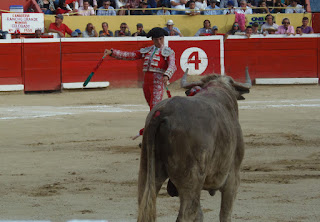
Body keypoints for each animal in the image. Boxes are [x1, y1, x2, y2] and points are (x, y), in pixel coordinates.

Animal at [138, 70, 252, 222]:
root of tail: (163, 113)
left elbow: (200, 214)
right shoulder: (233, 177)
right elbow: (224, 214)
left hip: (146, 170)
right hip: (191, 179)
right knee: (186, 213)